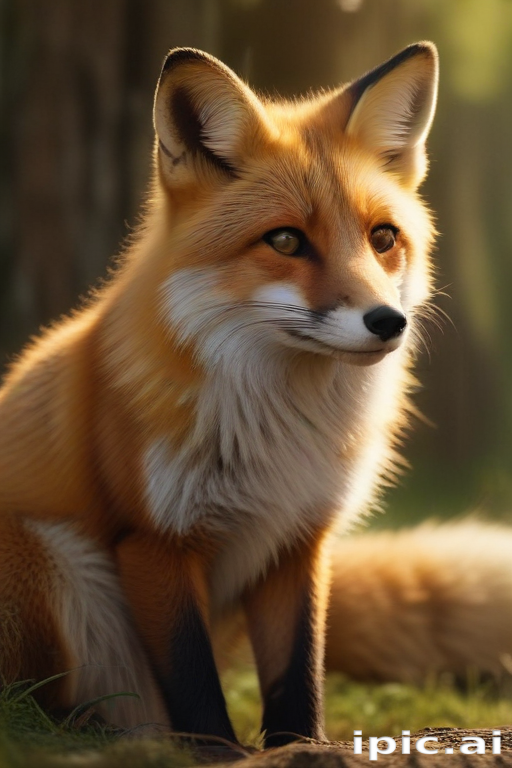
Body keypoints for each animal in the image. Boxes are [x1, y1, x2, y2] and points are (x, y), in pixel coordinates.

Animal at [0, 43, 438, 748]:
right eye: (285, 240)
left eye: (383, 238)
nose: (387, 322)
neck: (280, 433)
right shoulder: (154, 541)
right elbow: (193, 680)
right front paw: (216, 753)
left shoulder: (298, 540)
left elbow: (298, 674)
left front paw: (302, 749)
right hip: (57, 563)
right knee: (34, 714)